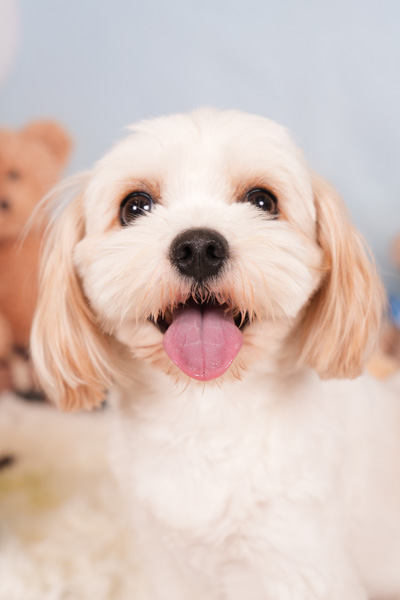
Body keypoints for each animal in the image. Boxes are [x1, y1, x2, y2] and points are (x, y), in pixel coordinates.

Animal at [31, 109, 400, 600]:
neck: (205, 414)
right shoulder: (166, 560)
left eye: (263, 200)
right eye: (135, 206)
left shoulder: (297, 564)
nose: (200, 248)